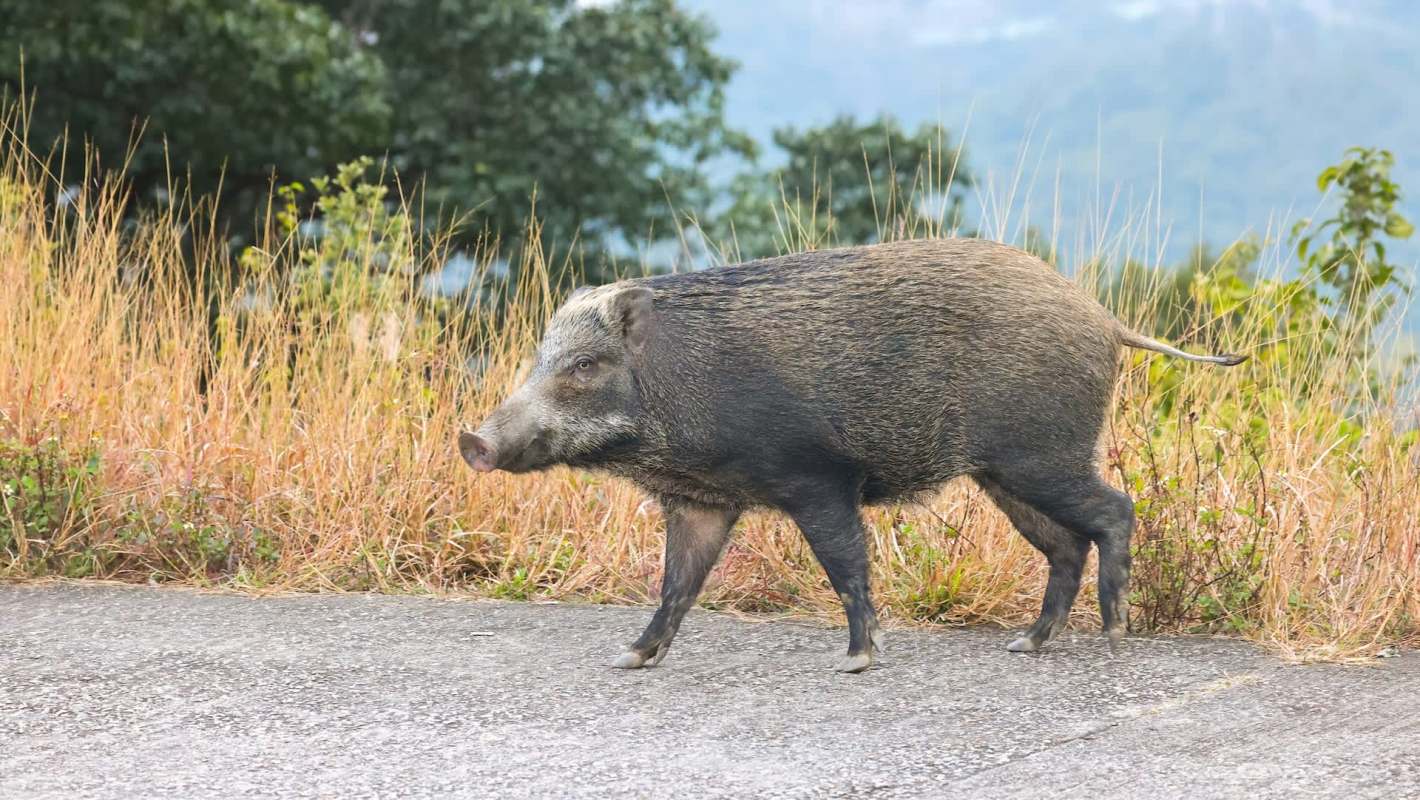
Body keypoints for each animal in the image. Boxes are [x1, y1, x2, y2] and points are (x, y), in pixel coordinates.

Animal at [459, 238, 1245, 673]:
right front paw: (628, 658)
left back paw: (1114, 634)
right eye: (541, 358)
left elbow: (845, 567)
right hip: (1005, 475)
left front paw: (858, 662)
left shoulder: (817, 480)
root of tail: (1106, 320)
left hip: (1042, 455)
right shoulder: (703, 503)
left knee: (1115, 512)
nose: (473, 440)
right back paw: (1025, 646)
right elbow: (677, 586)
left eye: (585, 365)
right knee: (1064, 546)